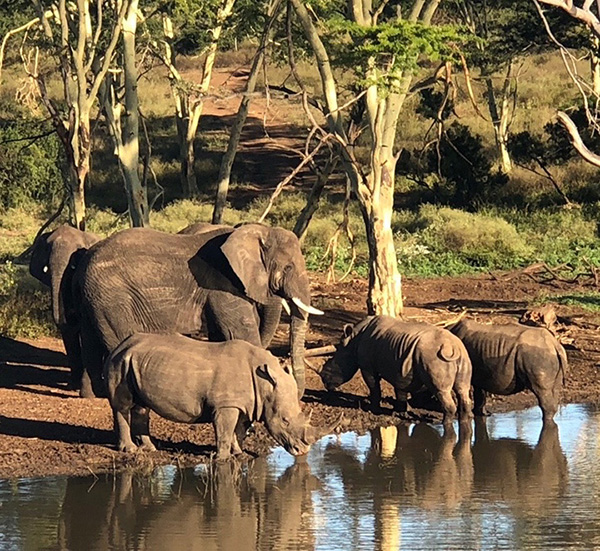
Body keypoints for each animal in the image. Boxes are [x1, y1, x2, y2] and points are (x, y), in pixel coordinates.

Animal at [76, 222, 324, 398]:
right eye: (288, 267)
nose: (299, 393)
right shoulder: (223, 282)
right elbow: (241, 332)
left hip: (95, 297)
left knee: (90, 342)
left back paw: (92, 394)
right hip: (114, 298)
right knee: (120, 342)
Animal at [105, 334, 316, 460]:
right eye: (285, 420)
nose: (303, 451)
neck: (264, 382)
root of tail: (120, 345)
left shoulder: (244, 404)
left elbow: (238, 430)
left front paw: (238, 453)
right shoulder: (226, 405)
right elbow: (225, 431)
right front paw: (222, 458)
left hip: (135, 362)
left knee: (142, 407)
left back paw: (149, 449)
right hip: (121, 362)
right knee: (123, 406)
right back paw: (130, 450)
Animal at [318, 314, 474, 426]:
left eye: (332, 362)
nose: (325, 383)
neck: (353, 340)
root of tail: (453, 347)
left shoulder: (367, 366)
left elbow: (374, 386)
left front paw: (374, 409)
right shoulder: (399, 366)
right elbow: (400, 389)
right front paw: (401, 412)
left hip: (435, 358)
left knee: (441, 391)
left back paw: (444, 424)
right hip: (463, 357)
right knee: (463, 389)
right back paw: (464, 421)